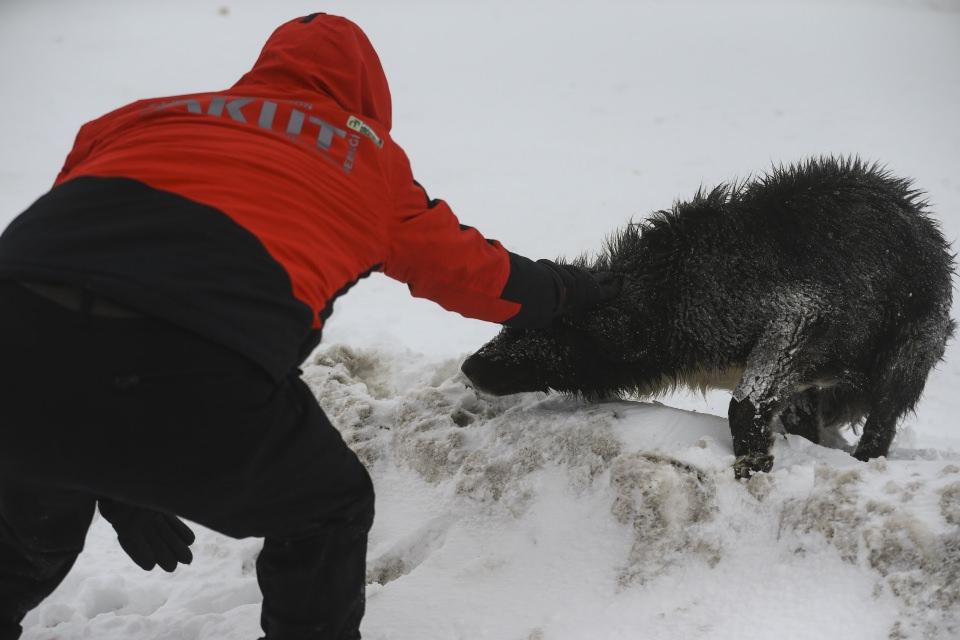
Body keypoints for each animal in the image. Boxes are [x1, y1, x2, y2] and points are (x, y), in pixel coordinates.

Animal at [464, 158, 952, 478]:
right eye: (507, 327)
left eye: (534, 335)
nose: (468, 367)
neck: (669, 293)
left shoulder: (802, 318)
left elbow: (745, 403)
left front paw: (753, 465)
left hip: (908, 350)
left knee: (882, 419)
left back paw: (866, 461)